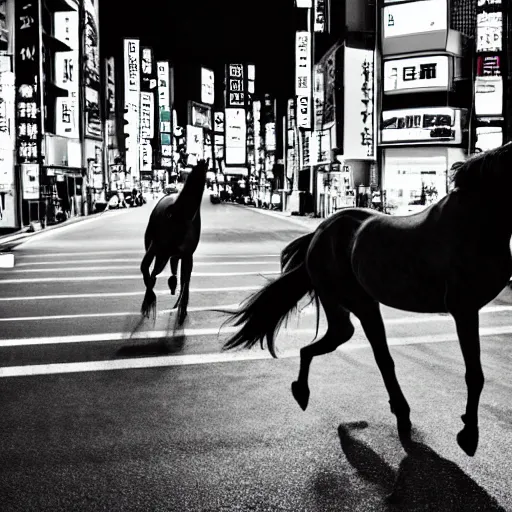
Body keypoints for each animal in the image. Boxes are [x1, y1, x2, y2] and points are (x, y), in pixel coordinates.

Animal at [140, 159, 208, 324]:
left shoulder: (184, 254)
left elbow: (184, 280)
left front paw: (181, 308)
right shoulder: (162, 249)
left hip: (164, 252)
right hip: (159, 251)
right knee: (152, 272)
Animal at [222, 143, 512, 456]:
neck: (478, 220)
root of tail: (320, 231)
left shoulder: (469, 310)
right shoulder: (463, 308)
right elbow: (475, 374)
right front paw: (469, 434)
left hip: (350, 306)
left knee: (334, 344)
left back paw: (307, 391)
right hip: (357, 302)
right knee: (377, 356)